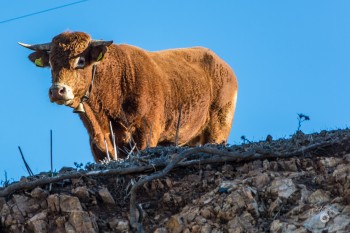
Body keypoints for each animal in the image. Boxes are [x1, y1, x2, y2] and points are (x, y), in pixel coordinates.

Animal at [19, 31, 238, 162]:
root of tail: (223, 65)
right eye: (51, 63)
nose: (57, 90)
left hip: (218, 126)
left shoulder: (146, 133)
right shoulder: (98, 146)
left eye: (80, 60)